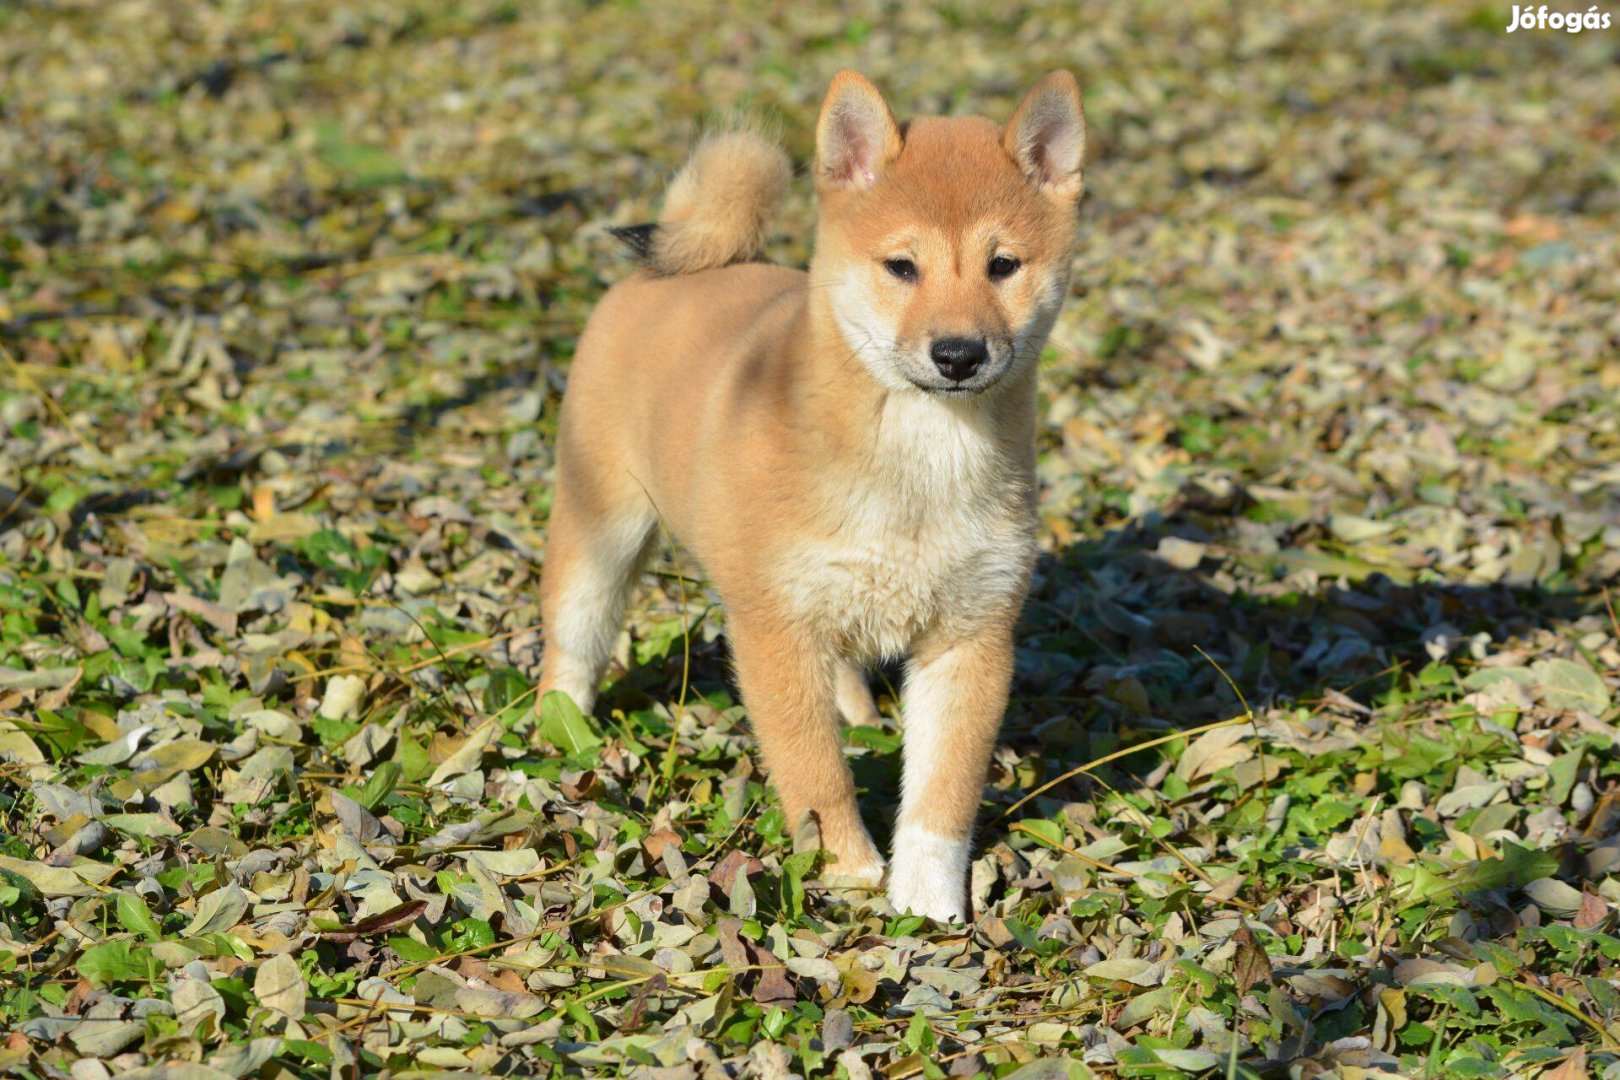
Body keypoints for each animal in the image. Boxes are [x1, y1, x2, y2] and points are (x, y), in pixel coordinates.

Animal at [544, 67, 1088, 919]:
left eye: (1003, 265)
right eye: (902, 267)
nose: (958, 353)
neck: (917, 468)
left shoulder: (972, 637)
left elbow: (942, 795)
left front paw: (929, 903)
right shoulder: (774, 632)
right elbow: (815, 774)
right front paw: (850, 871)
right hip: (602, 531)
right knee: (570, 643)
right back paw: (554, 732)